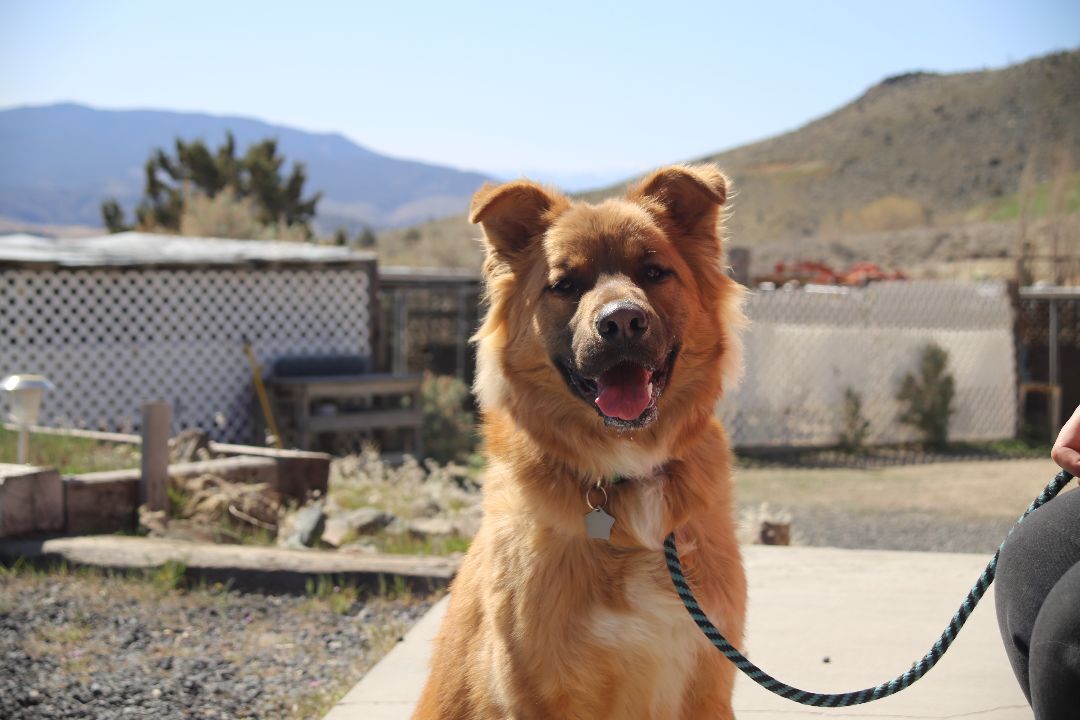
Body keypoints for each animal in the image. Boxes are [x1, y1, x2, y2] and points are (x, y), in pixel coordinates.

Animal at [414, 165, 751, 720]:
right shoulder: (536, 691)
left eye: (654, 272)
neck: (624, 478)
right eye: (564, 285)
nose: (622, 321)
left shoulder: (707, 685)